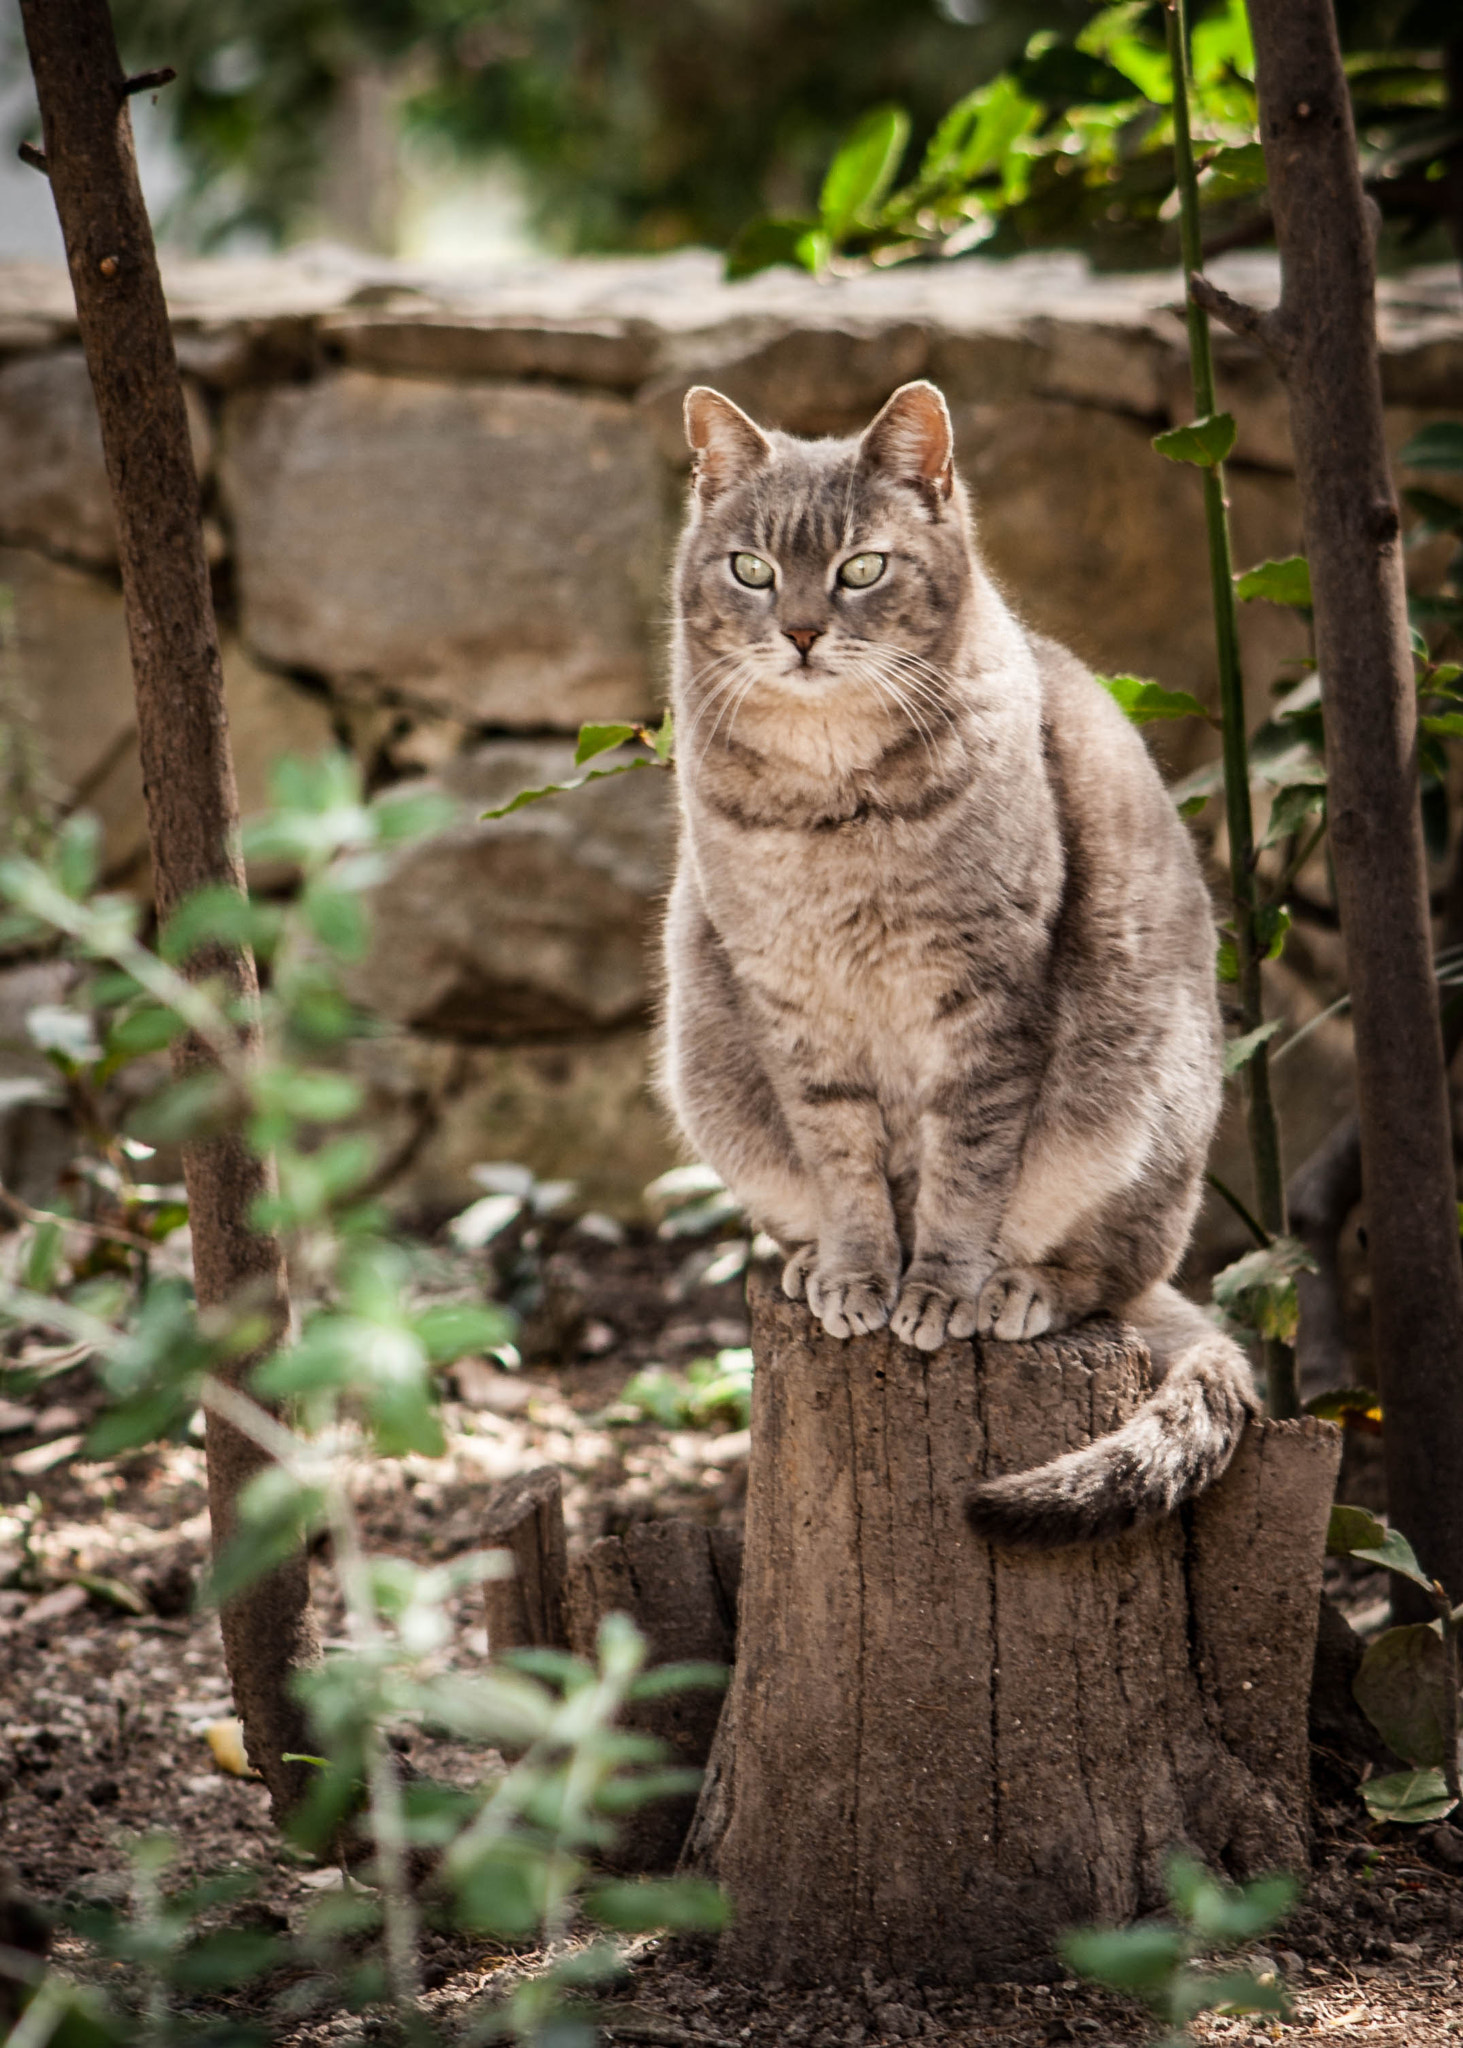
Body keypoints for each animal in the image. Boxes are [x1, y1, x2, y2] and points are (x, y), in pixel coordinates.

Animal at [655, 376, 1245, 1540]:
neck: (830, 808)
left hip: (1135, 1115)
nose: (799, 631)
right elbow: (842, 1161)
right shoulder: (791, 1005)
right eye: (751, 568)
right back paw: (803, 1266)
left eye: (860, 567)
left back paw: (1022, 1287)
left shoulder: (986, 998)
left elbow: (964, 1169)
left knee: (1109, 1273)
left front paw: (935, 1287)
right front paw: (856, 1269)